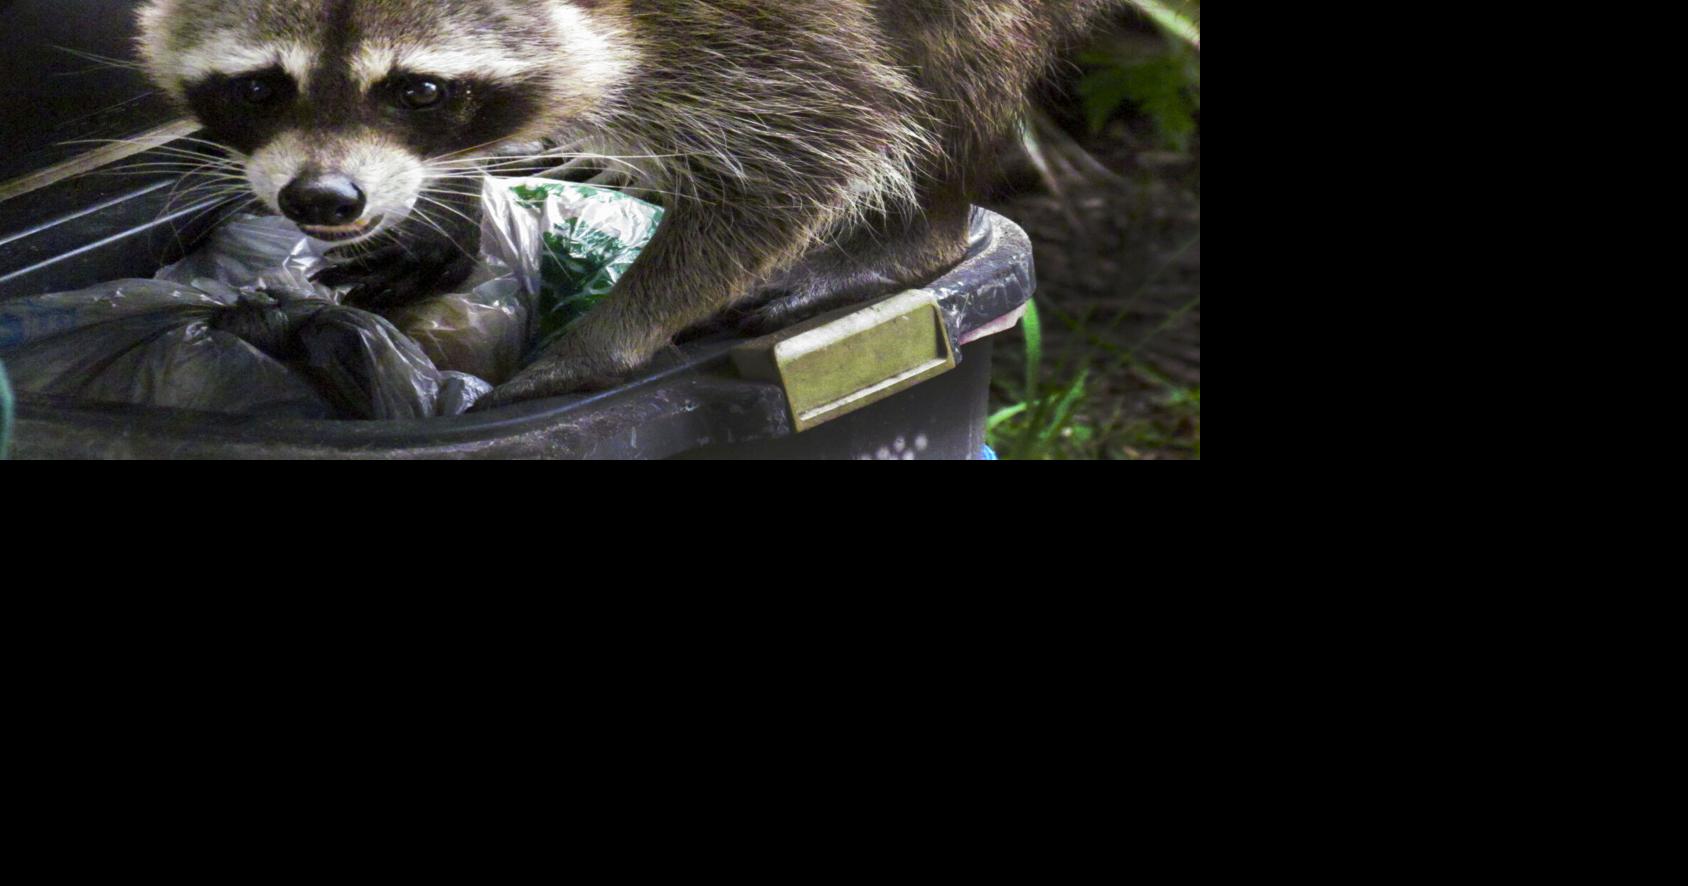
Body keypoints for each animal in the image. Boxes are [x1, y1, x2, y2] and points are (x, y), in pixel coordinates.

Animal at [136, 0, 1119, 405]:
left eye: (418, 90)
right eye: (260, 87)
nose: (325, 199)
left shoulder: (757, 32)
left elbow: (825, 139)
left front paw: (605, 340)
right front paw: (450, 207)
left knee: (957, 67)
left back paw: (921, 230)